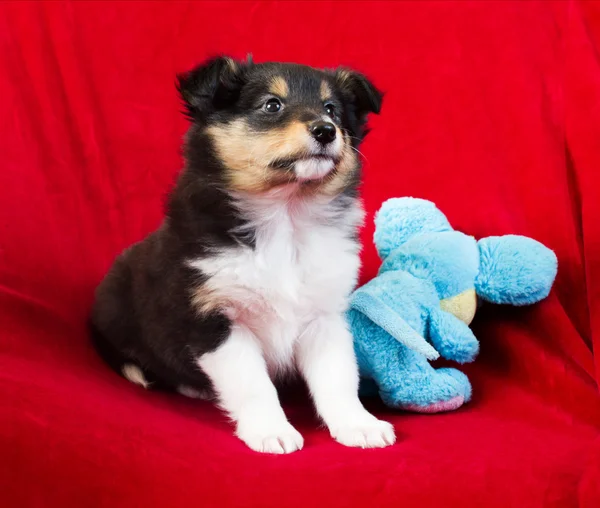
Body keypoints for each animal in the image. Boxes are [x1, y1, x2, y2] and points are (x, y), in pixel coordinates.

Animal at [91, 55, 396, 452]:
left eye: (332, 109)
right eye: (272, 105)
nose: (326, 130)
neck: (285, 214)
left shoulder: (325, 316)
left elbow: (339, 377)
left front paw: (359, 425)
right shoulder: (215, 319)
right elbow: (253, 385)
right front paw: (272, 432)